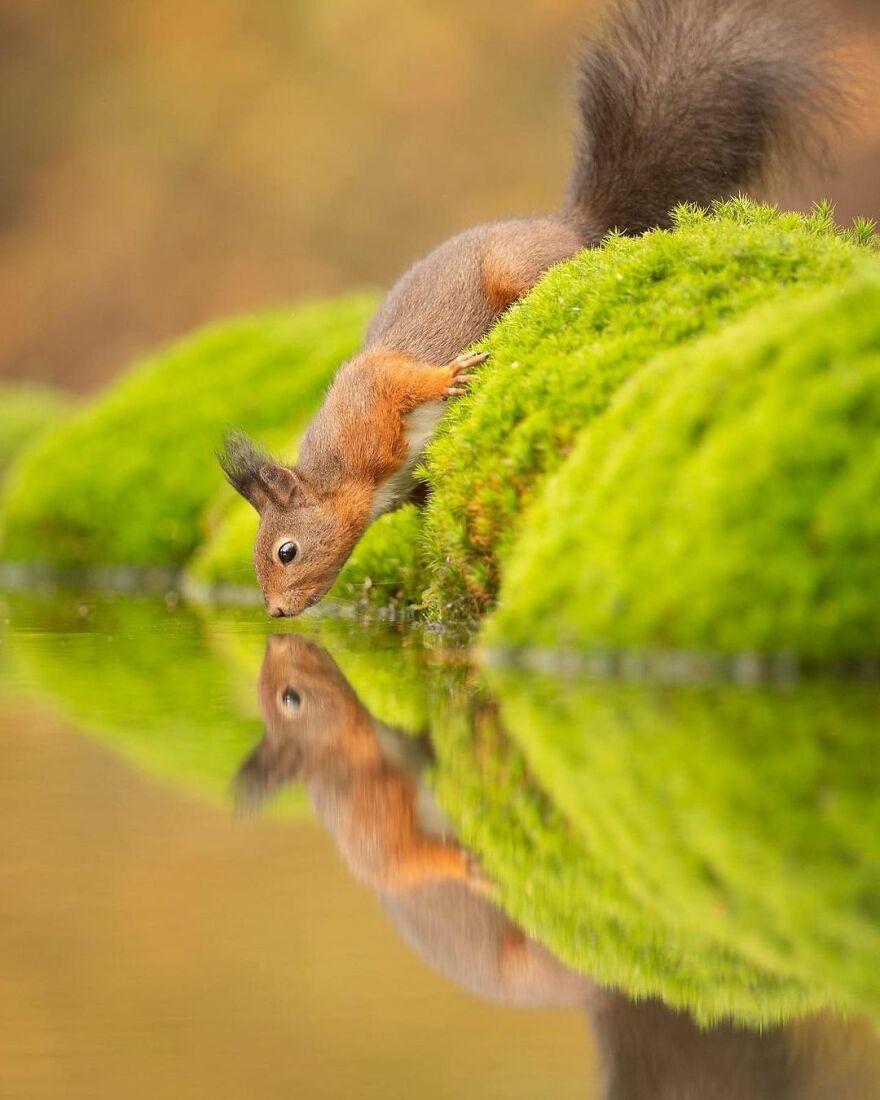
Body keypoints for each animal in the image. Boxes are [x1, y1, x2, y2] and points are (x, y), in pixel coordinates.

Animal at [219, 0, 834, 617]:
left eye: (286, 551)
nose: (275, 612)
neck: (351, 479)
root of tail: (573, 224)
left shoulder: (368, 395)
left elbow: (406, 379)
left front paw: (451, 375)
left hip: (516, 266)